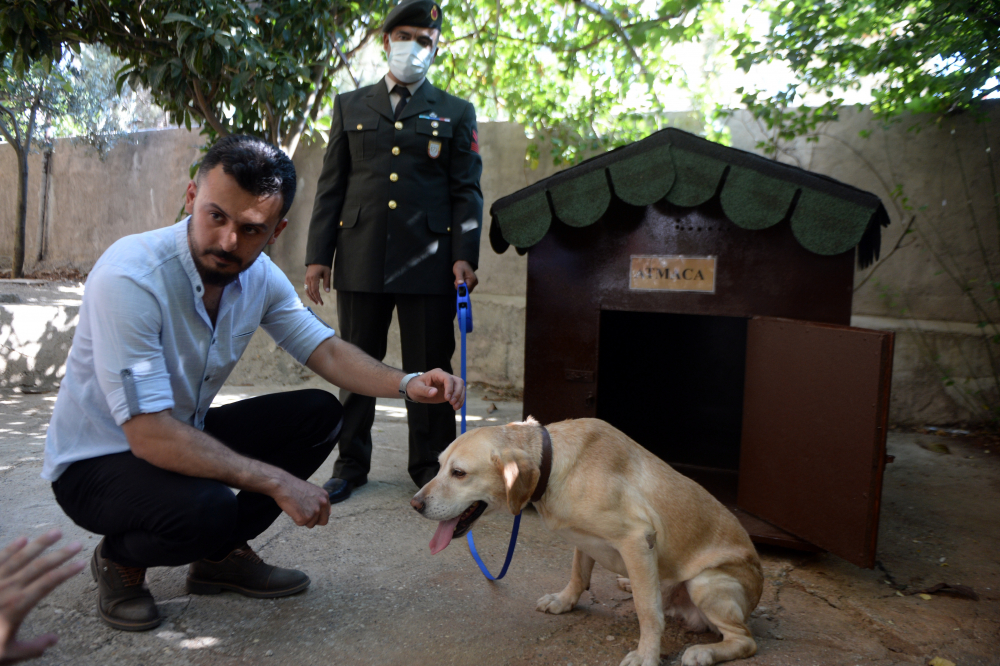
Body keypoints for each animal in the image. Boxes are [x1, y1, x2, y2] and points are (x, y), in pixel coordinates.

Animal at [410, 418, 760, 660]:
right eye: (439, 467)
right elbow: (578, 575)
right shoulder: (584, 540)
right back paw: (631, 583)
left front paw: (646, 655)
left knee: (745, 640)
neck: (552, 466)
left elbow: (648, 612)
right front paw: (564, 601)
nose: (415, 504)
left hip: (706, 583)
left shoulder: (637, 538)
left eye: (459, 473)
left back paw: (704, 652)